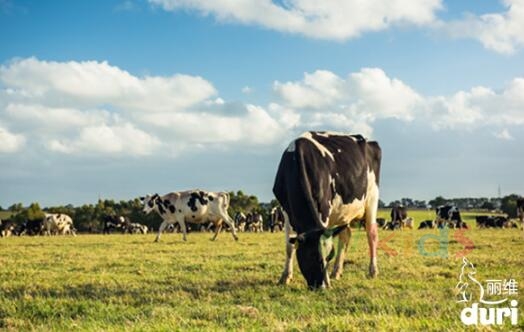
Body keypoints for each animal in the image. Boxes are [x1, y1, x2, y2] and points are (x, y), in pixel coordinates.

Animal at [272, 131, 378, 290]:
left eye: (328, 257)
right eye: (312, 256)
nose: (321, 287)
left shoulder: (324, 208)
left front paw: (327, 281)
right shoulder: (286, 211)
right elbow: (289, 246)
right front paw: (285, 277)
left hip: (372, 198)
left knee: (371, 235)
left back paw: (373, 271)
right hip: (343, 213)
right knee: (345, 235)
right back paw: (336, 272)